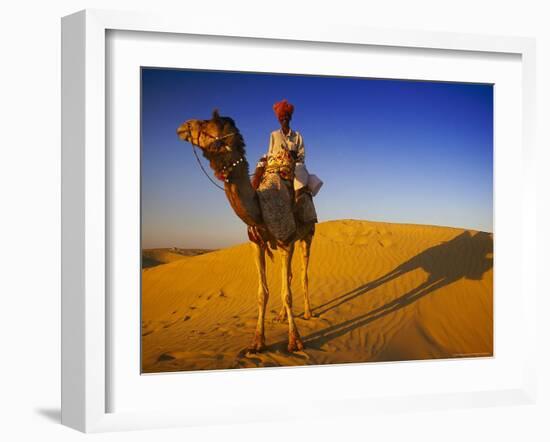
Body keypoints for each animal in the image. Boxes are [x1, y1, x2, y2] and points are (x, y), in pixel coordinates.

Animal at [177, 110, 314, 352]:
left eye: (207, 123)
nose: (184, 126)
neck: (259, 207)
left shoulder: (285, 240)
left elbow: (287, 294)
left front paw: (295, 341)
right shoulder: (258, 243)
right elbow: (263, 293)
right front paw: (257, 342)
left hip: (306, 235)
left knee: (303, 274)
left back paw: (307, 313)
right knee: (288, 276)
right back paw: (280, 316)